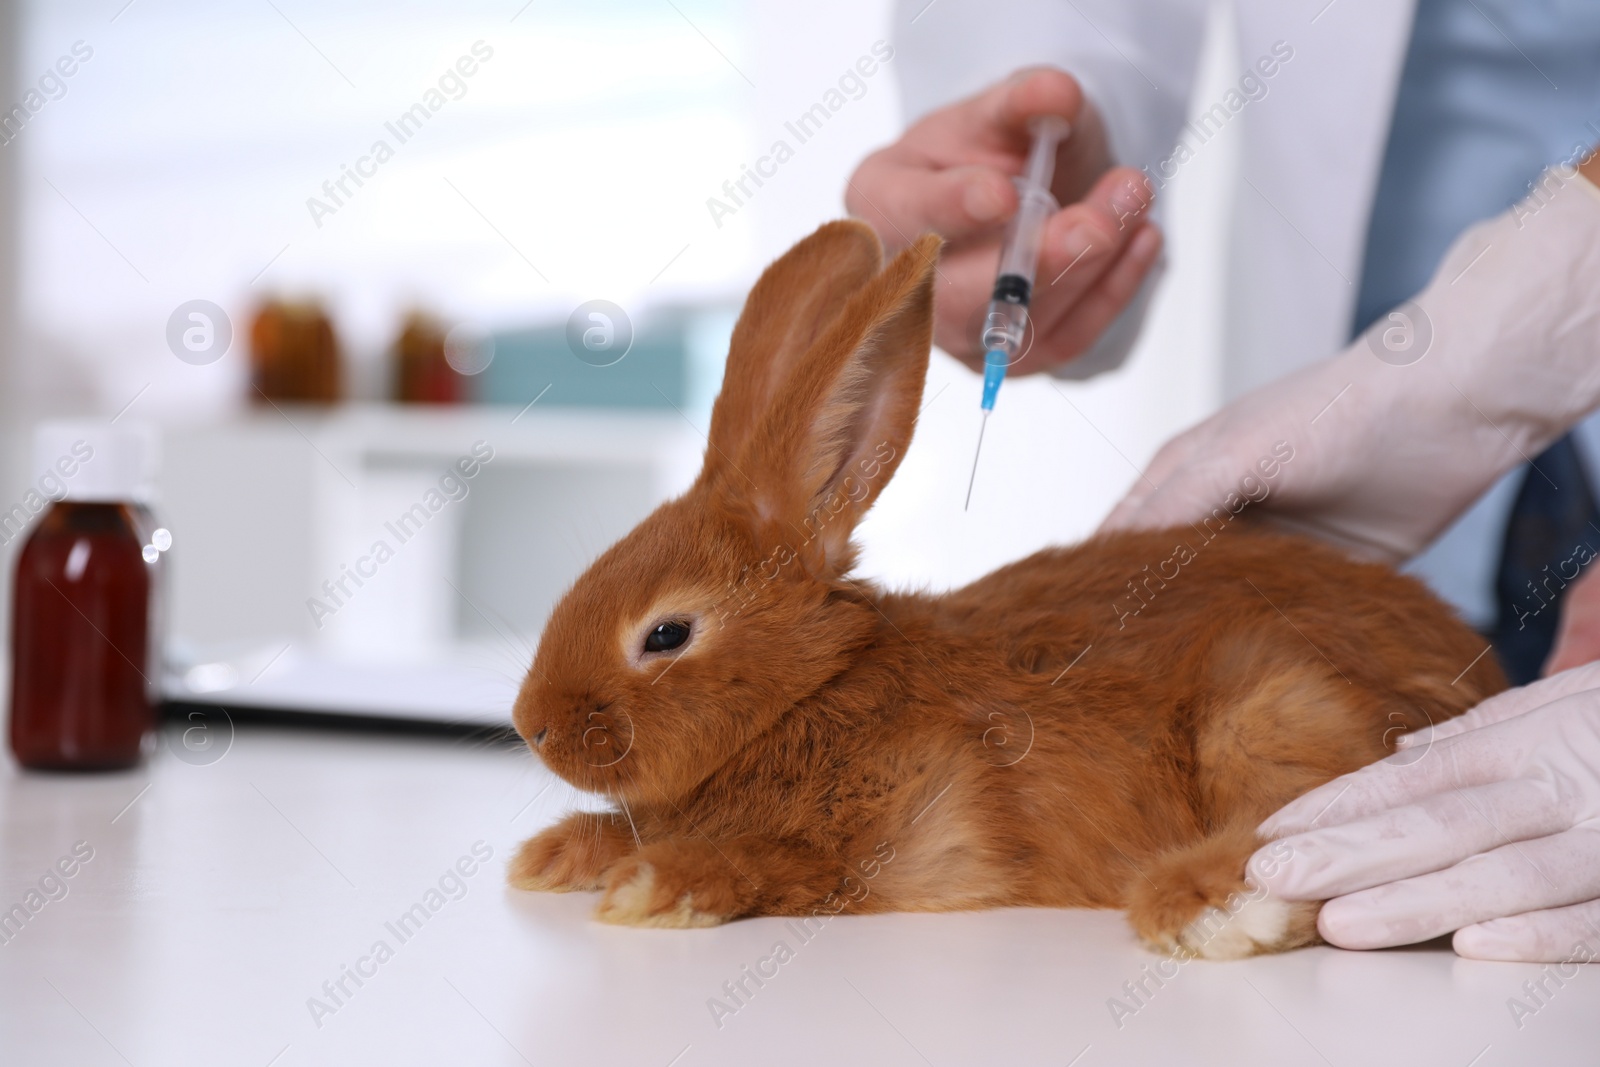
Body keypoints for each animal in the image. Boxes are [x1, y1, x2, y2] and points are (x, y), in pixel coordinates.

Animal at [505, 219, 1504, 959]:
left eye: (666, 634)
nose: (533, 726)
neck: (811, 690)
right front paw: (554, 855)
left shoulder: (876, 844)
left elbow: (764, 859)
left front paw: (653, 887)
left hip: (1271, 704)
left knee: (1298, 836)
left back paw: (1202, 907)